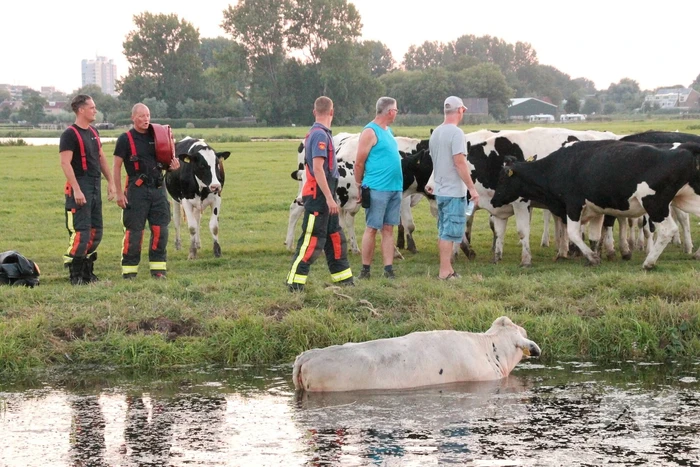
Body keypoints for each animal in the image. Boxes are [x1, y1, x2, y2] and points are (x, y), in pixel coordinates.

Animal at [490, 139, 700, 269]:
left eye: (502, 178)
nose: (493, 201)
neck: (557, 167)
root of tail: (685, 148)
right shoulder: (596, 209)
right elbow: (593, 235)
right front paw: (592, 255)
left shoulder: (573, 204)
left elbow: (574, 234)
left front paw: (593, 257)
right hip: (688, 198)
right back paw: (696, 254)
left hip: (655, 203)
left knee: (668, 230)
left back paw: (649, 262)